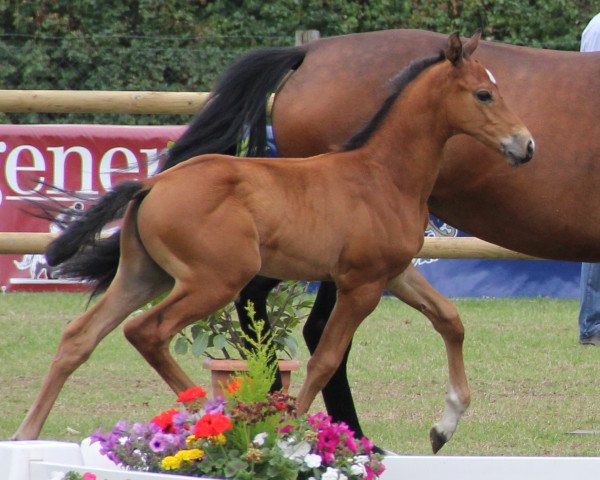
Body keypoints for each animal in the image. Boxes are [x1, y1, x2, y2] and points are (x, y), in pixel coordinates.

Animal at [11, 33, 532, 450]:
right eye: (484, 93)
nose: (526, 146)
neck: (382, 173)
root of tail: (153, 184)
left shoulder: (396, 273)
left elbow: (449, 319)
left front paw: (444, 426)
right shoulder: (360, 284)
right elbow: (324, 359)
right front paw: (291, 432)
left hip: (144, 276)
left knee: (80, 337)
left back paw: (25, 434)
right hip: (212, 282)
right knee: (147, 332)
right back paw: (213, 418)